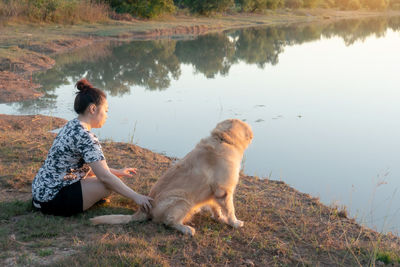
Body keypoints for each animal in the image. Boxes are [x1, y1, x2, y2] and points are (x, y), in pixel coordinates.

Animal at [90, 119, 253, 237]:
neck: (222, 139)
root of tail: (143, 210)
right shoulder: (224, 190)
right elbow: (230, 209)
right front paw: (235, 222)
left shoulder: (215, 192)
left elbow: (216, 208)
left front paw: (219, 218)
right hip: (183, 199)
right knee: (168, 222)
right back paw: (186, 229)